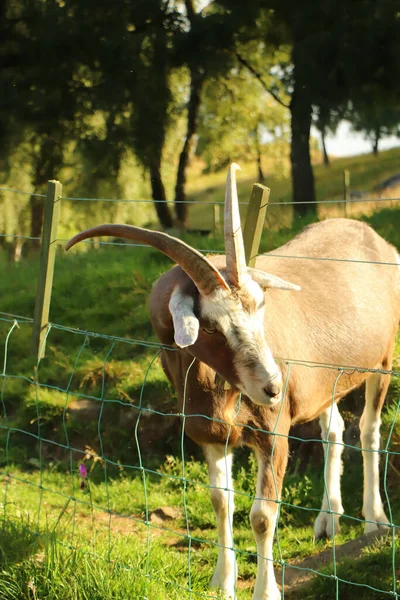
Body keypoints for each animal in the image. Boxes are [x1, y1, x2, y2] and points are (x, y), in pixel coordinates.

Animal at [66, 164, 400, 600]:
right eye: (209, 326)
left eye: (261, 308)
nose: (272, 387)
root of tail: (376, 240)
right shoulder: (211, 435)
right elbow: (220, 501)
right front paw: (222, 582)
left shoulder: (274, 433)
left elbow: (262, 516)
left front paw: (265, 590)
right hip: (326, 383)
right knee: (334, 429)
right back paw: (328, 518)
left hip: (382, 360)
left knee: (369, 429)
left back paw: (374, 519)